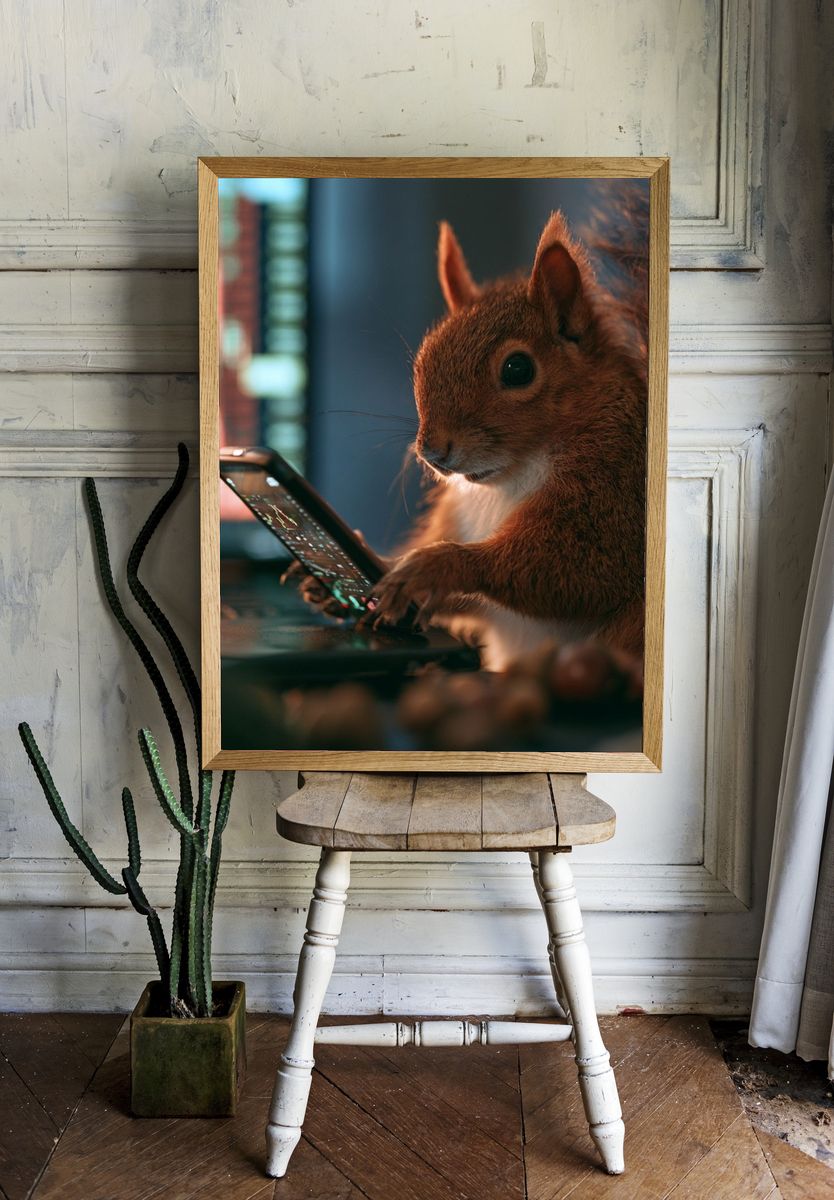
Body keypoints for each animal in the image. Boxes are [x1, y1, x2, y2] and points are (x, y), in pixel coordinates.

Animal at [369, 201, 648, 672]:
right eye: (423, 361)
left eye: (518, 369)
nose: (432, 451)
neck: (511, 475)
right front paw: (367, 558)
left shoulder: (615, 487)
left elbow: (581, 569)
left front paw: (438, 565)